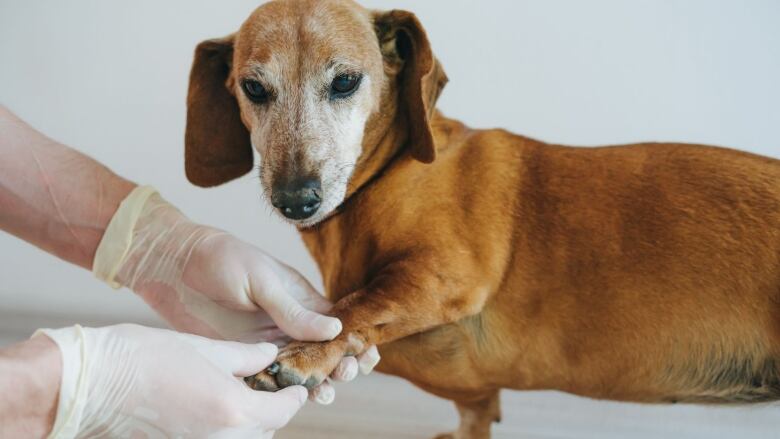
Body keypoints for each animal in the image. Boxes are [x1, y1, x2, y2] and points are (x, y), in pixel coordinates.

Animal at [183, 0, 780, 436]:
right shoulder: (472, 391)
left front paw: (309, 351)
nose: (296, 198)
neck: (386, 178)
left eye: (346, 81)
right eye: (253, 88)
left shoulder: (446, 273)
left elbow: (359, 304)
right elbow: (474, 413)